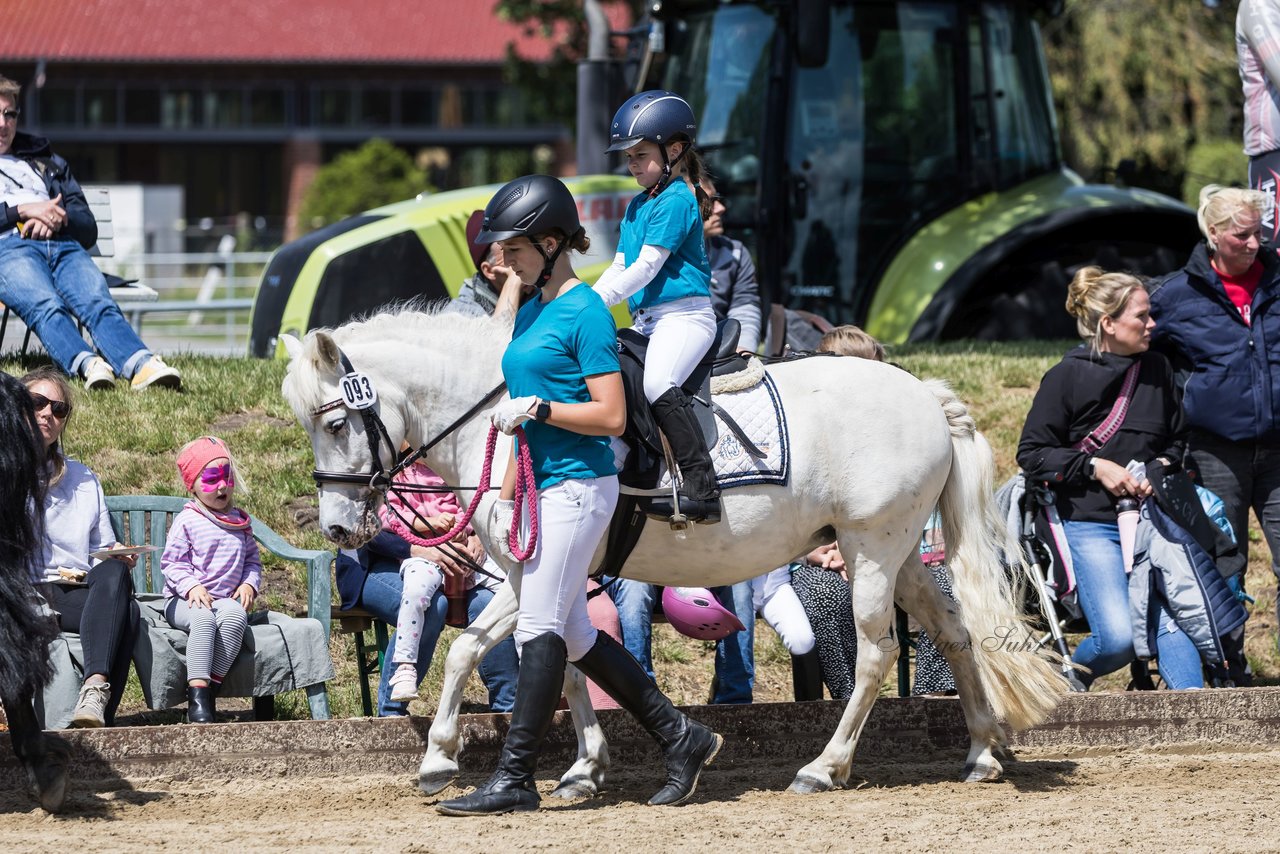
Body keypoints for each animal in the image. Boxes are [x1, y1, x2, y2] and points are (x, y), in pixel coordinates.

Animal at [282, 308, 1070, 804]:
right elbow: (570, 660)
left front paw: (440, 756)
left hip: (872, 550)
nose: (339, 529)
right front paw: (585, 768)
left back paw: (825, 767)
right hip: (899, 552)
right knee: (954, 630)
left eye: (334, 421)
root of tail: (924, 393)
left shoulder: (530, 570)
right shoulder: (557, 574)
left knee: (877, 653)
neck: (513, 425)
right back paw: (981, 750)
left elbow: (472, 649)